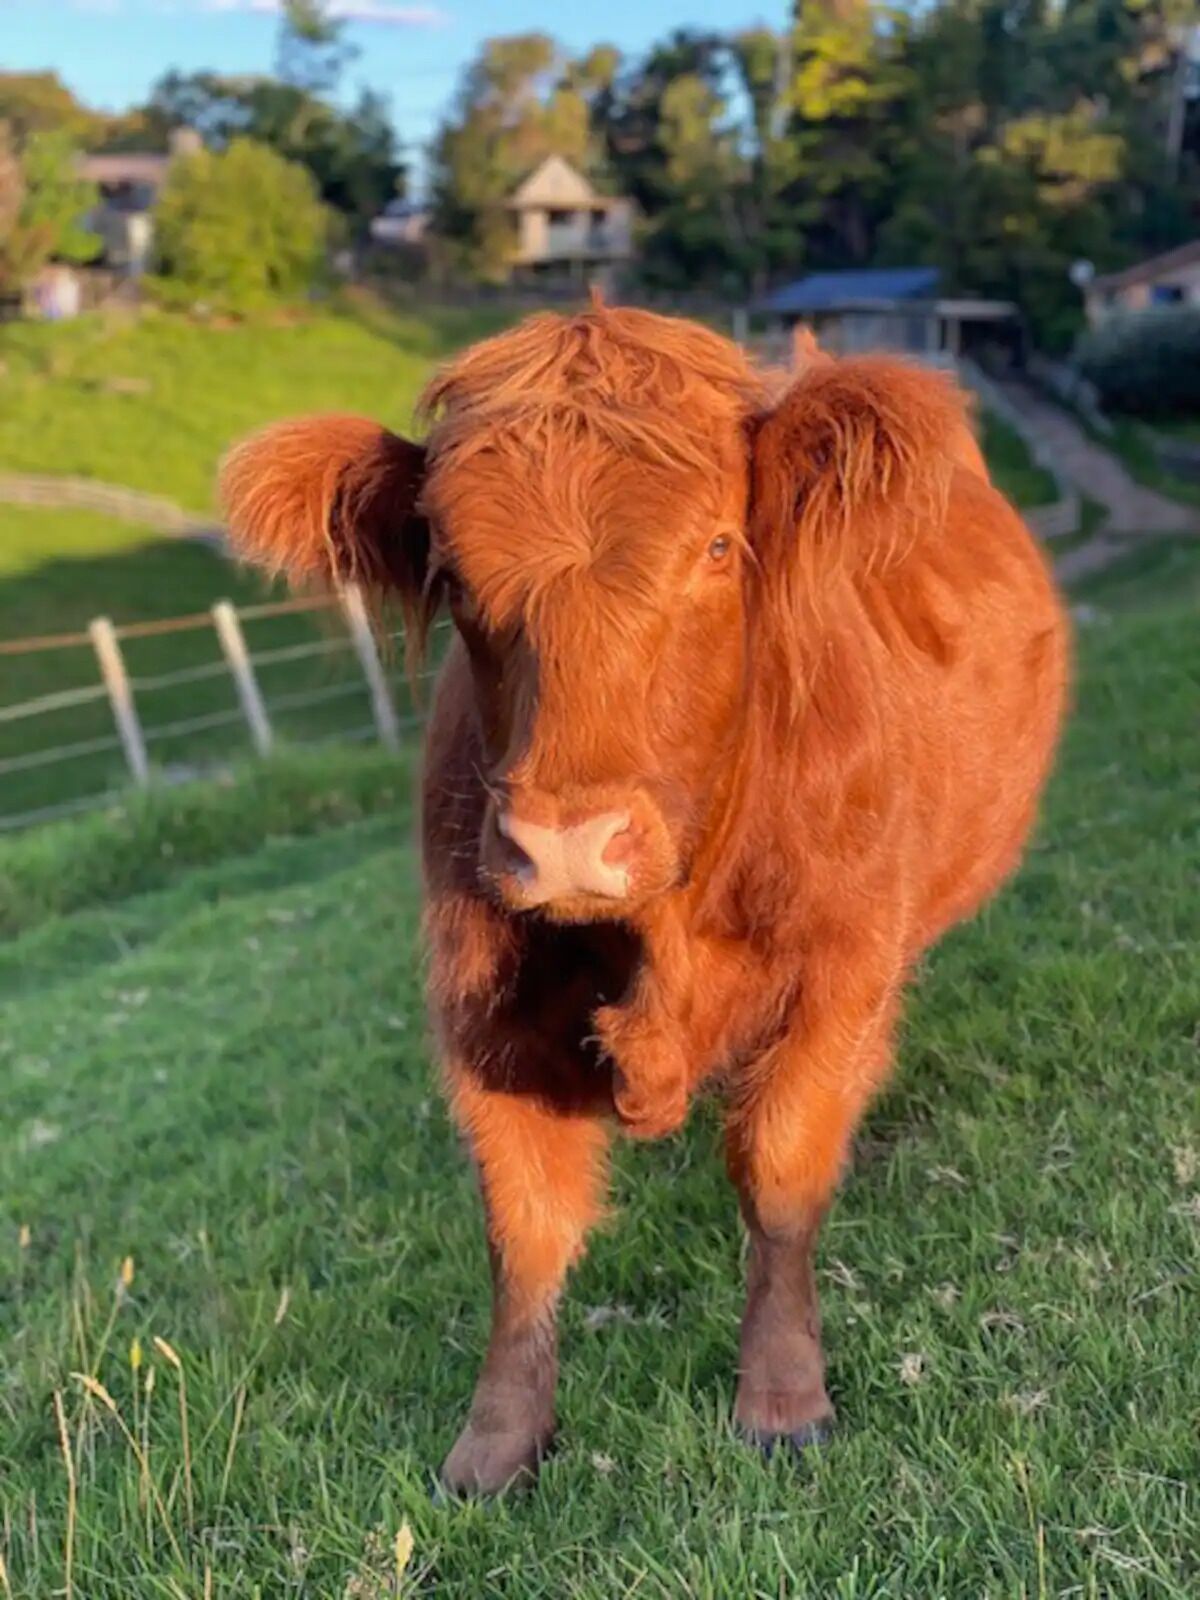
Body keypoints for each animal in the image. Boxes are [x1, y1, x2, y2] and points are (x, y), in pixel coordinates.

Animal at [220, 302, 1069, 1495]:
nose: (568, 844)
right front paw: (495, 1442)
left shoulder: (839, 968)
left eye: (715, 545)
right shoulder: (484, 1012)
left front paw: (781, 1400)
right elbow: (523, 1226)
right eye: (453, 571)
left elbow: (781, 1172)